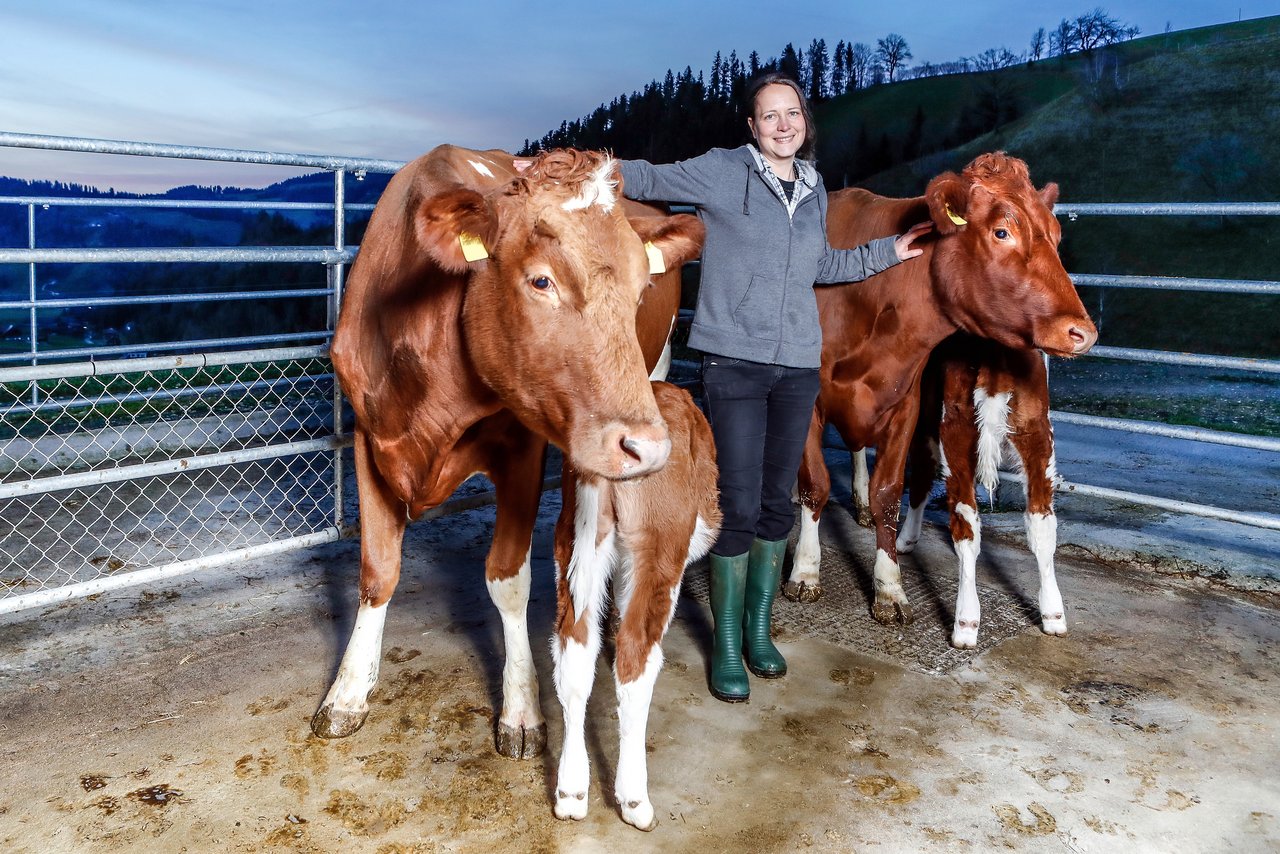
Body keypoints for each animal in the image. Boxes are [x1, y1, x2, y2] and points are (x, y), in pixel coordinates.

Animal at [313, 143, 706, 757]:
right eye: (541, 280)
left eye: (643, 286)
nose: (647, 445)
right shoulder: (369, 435)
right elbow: (377, 570)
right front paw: (349, 690)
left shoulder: (523, 450)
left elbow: (508, 580)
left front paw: (520, 708)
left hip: (652, 376)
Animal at [550, 378, 721, 829]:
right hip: (659, 551)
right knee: (635, 660)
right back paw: (634, 800)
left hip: (571, 541)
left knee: (573, 652)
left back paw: (571, 792)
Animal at [783, 153, 1095, 635]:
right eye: (1001, 232)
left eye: (1057, 236)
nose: (1082, 332)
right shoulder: (808, 401)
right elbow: (814, 485)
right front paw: (804, 570)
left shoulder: (905, 406)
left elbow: (889, 491)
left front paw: (889, 588)